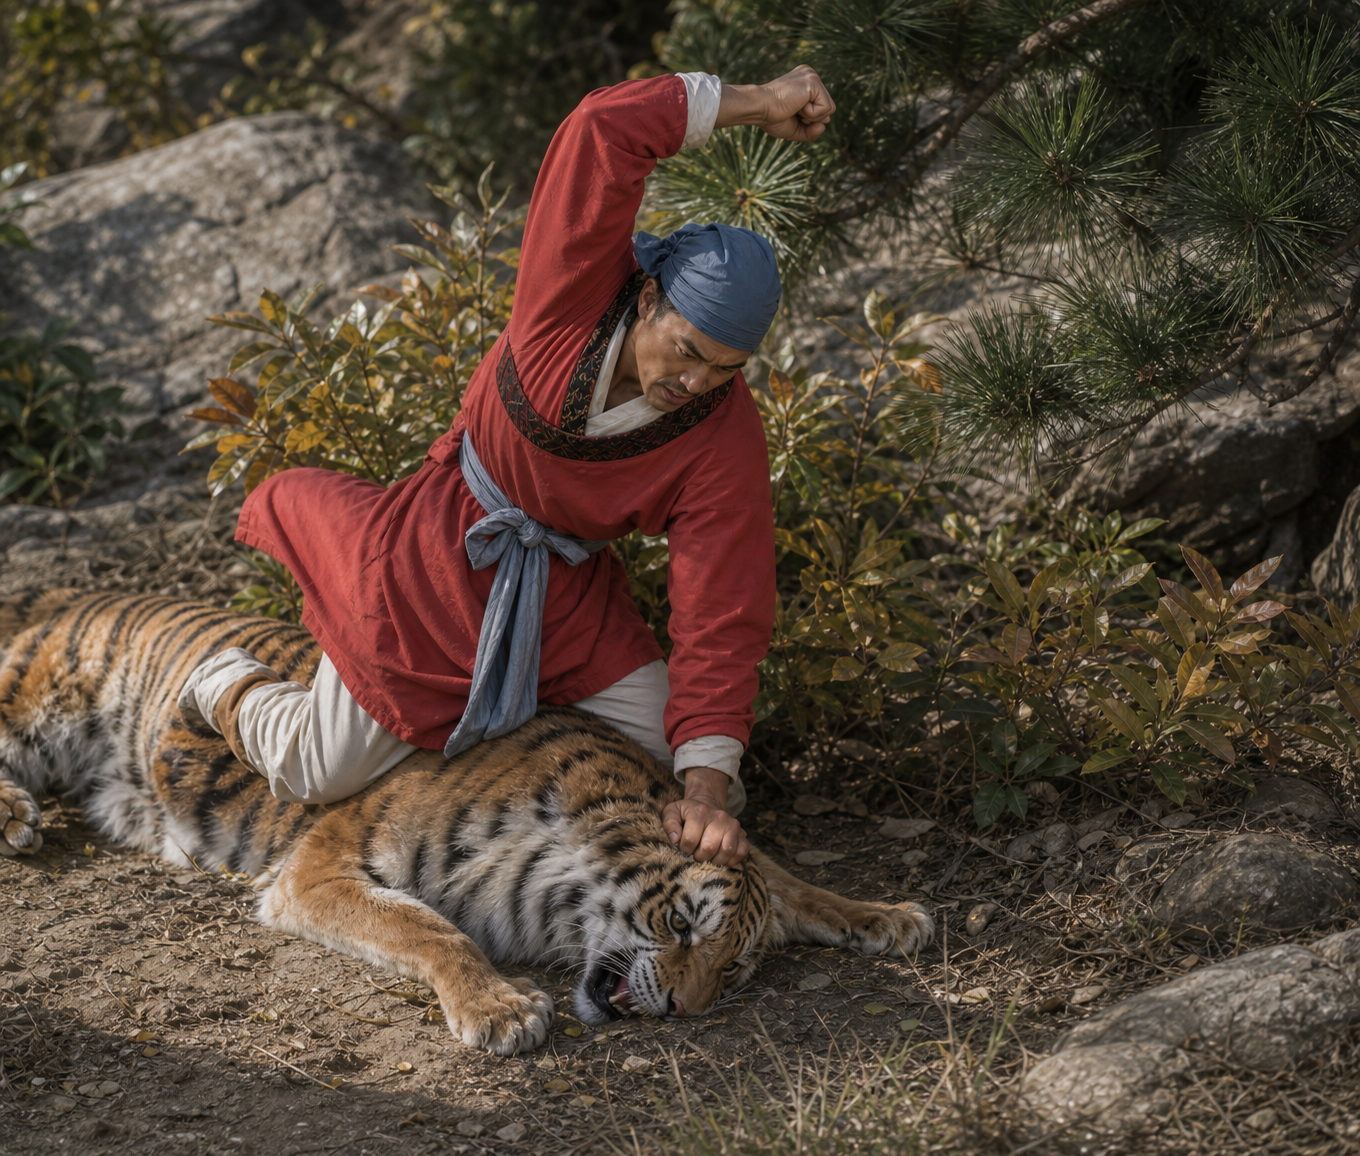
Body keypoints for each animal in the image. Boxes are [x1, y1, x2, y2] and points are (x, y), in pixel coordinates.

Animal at [0, 591, 934, 1055]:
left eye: (733, 968)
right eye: (678, 926)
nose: (683, 1009)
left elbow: (791, 882)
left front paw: (887, 916)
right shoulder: (320, 869)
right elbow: (431, 931)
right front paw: (502, 1012)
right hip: (36, 709)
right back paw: (16, 818)